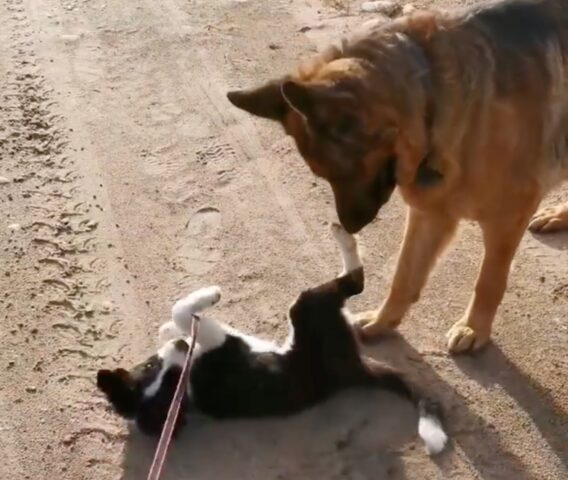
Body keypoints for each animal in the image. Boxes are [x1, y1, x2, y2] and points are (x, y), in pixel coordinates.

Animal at [98, 223, 452, 456]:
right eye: (169, 378)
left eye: (150, 365)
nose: (180, 348)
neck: (188, 384)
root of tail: (354, 371)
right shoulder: (217, 338)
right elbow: (182, 311)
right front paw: (209, 296)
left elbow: (177, 320)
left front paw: (170, 332)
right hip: (309, 310)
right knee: (354, 282)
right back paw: (343, 236)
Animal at [226, 0, 568, 352]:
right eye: (323, 175)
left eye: (343, 171)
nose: (349, 227)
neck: (430, 103)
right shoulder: (430, 214)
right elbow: (404, 275)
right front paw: (382, 321)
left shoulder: (506, 217)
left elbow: (488, 280)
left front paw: (474, 328)